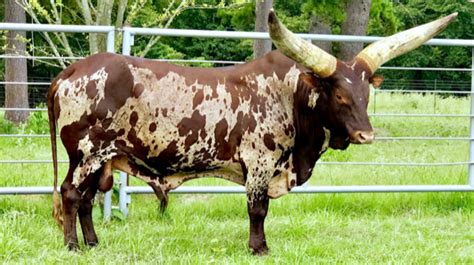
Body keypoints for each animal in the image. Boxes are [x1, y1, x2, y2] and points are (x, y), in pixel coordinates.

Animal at [47, 11, 456, 253]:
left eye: (366, 93)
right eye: (339, 94)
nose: (365, 136)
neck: (289, 95)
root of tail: (70, 72)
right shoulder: (260, 162)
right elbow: (257, 209)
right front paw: (259, 248)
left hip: (101, 159)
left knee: (86, 199)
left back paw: (94, 243)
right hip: (85, 155)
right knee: (70, 194)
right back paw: (72, 246)